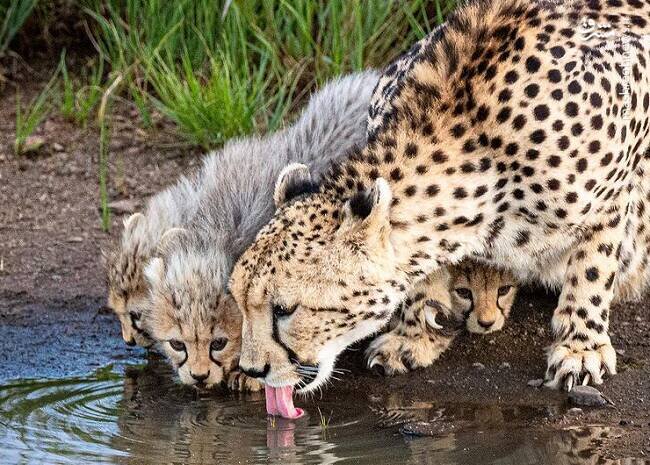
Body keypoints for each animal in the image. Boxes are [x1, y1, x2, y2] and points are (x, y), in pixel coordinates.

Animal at [230, 0, 648, 412]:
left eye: (285, 309)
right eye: (238, 300)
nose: (252, 370)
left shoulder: (619, 180)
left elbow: (592, 269)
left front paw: (581, 347)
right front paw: (413, 337)